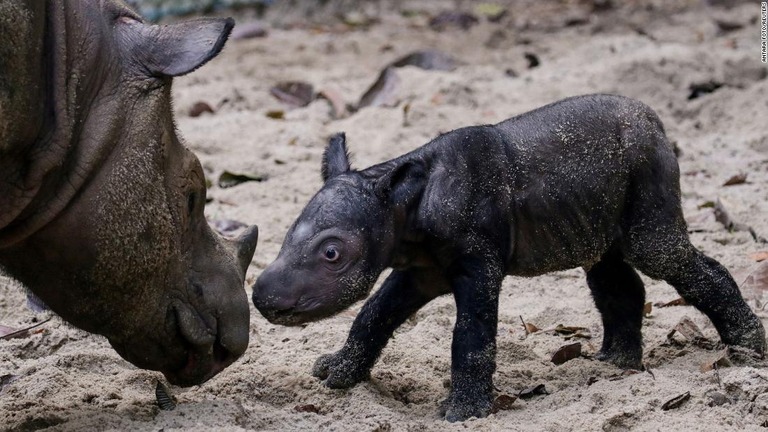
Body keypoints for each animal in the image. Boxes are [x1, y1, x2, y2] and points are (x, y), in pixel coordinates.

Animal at [255, 94, 764, 422]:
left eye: (332, 253)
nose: (263, 299)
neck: (402, 205)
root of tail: (657, 122)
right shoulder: (420, 268)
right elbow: (374, 315)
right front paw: (336, 375)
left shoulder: (477, 261)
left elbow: (471, 334)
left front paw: (461, 414)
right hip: (599, 202)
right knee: (608, 269)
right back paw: (614, 366)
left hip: (648, 166)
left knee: (658, 252)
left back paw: (748, 349)